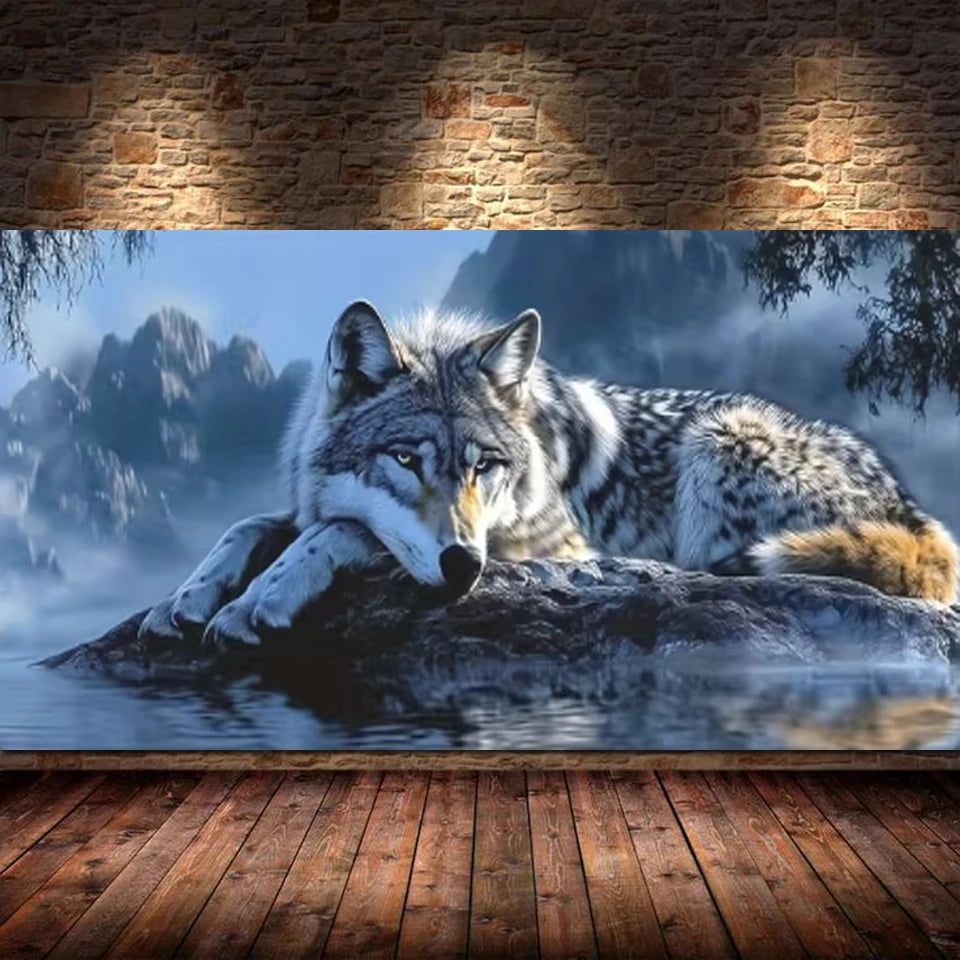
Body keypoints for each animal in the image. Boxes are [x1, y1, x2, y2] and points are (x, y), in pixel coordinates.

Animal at [140, 300, 959, 645]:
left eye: (484, 467)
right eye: (405, 461)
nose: (464, 567)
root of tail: (913, 511)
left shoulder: (553, 548)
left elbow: (341, 530)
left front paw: (260, 600)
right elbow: (251, 523)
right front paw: (188, 596)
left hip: (720, 439)